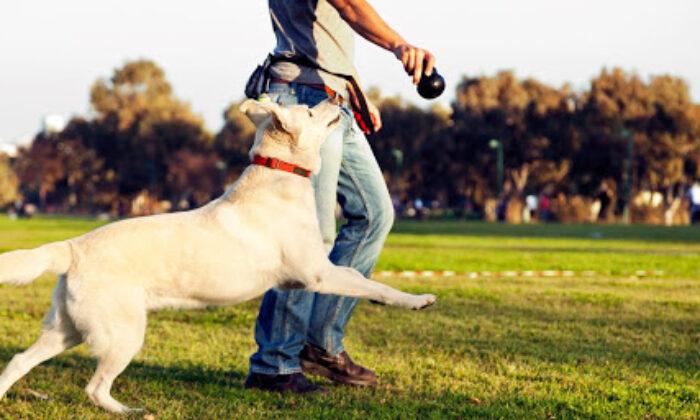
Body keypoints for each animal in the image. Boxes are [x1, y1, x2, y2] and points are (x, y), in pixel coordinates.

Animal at [0, 99, 434, 414]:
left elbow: (360, 283)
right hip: (123, 334)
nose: (337, 97)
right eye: (310, 111)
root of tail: (72, 247)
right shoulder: (319, 274)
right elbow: (371, 284)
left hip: (68, 329)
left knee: (20, 360)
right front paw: (417, 300)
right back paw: (130, 411)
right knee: (94, 387)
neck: (279, 174)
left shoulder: (312, 276)